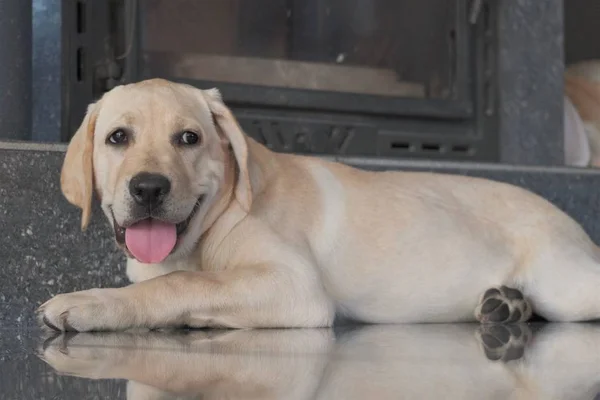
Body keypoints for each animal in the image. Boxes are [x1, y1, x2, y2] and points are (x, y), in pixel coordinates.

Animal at [38, 78, 600, 332]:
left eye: (189, 138)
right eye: (117, 137)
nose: (149, 188)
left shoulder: (294, 285)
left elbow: (185, 283)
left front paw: (92, 302)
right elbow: (173, 282)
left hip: (565, 285)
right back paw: (506, 304)